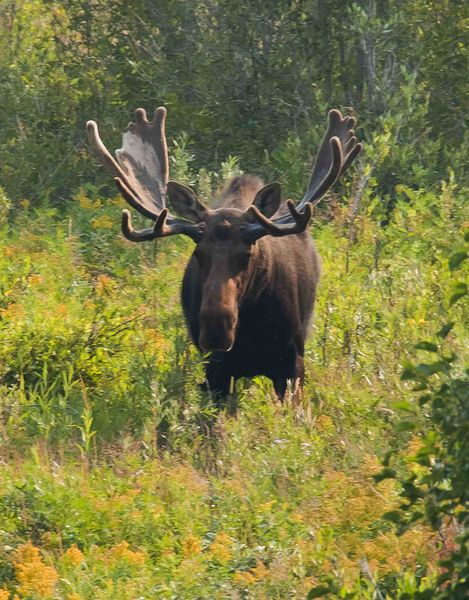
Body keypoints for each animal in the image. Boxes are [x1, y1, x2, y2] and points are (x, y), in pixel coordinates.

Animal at [86, 106, 360, 404]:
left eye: (249, 253)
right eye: (198, 253)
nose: (216, 328)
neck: (251, 333)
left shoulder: (291, 365)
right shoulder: (215, 371)